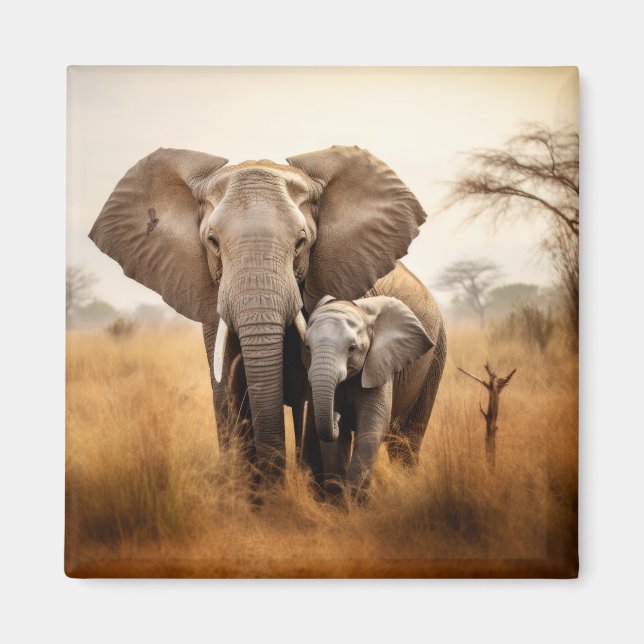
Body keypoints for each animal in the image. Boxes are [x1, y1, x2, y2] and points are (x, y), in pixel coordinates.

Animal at [303, 295, 440, 498]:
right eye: (307, 348)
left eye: (352, 348)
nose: (336, 416)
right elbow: (333, 442)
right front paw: (338, 501)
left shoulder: (379, 364)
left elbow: (373, 425)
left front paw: (355, 498)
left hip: (434, 363)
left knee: (408, 439)